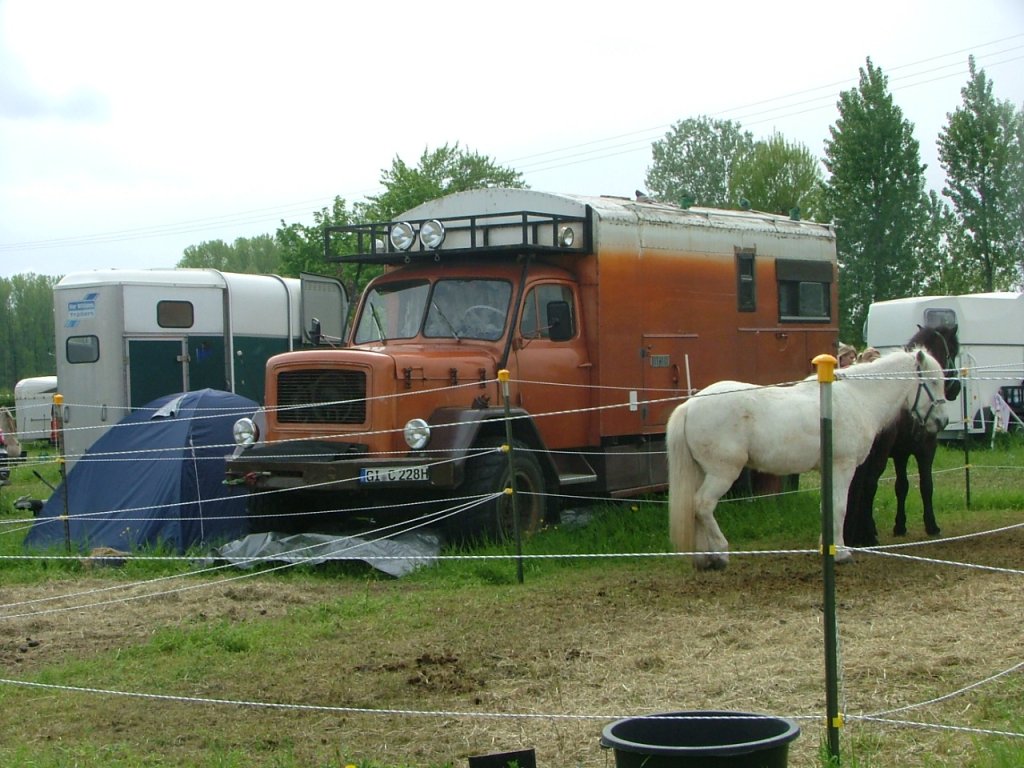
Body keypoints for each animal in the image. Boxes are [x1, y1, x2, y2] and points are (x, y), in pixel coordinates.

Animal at [667, 350, 946, 573]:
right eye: (932, 382)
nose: (941, 422)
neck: (858, 397)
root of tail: (690, 405)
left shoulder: (828, 470)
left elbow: (828, 507)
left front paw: (827, 547)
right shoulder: (843, 467)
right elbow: (839, 507)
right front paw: (842, 553)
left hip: (702, 472)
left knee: (695, 509)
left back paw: (704, 558)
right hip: (722, 473)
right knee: (703, 505)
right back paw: (721, 554)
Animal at [839, 325, 958, 548]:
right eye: (953, 351)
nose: (955, 388)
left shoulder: (901, 455)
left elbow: (901, 486)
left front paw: (900, 526)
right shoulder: (927, 449)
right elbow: (926, 485)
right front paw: (932, 525)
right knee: (868, 485)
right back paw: (866, 534)